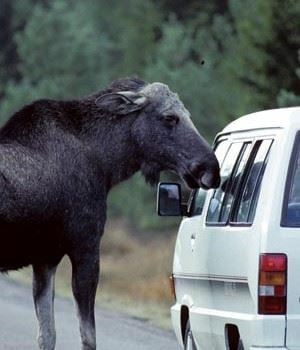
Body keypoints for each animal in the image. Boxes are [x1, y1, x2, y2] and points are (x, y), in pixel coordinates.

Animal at [0, 77, 220, 350]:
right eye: (170, 117)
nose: (211, 168)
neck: (107, 166)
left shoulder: (45, 258)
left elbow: (47, 335)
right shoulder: (86, 248)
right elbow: (88, 336)